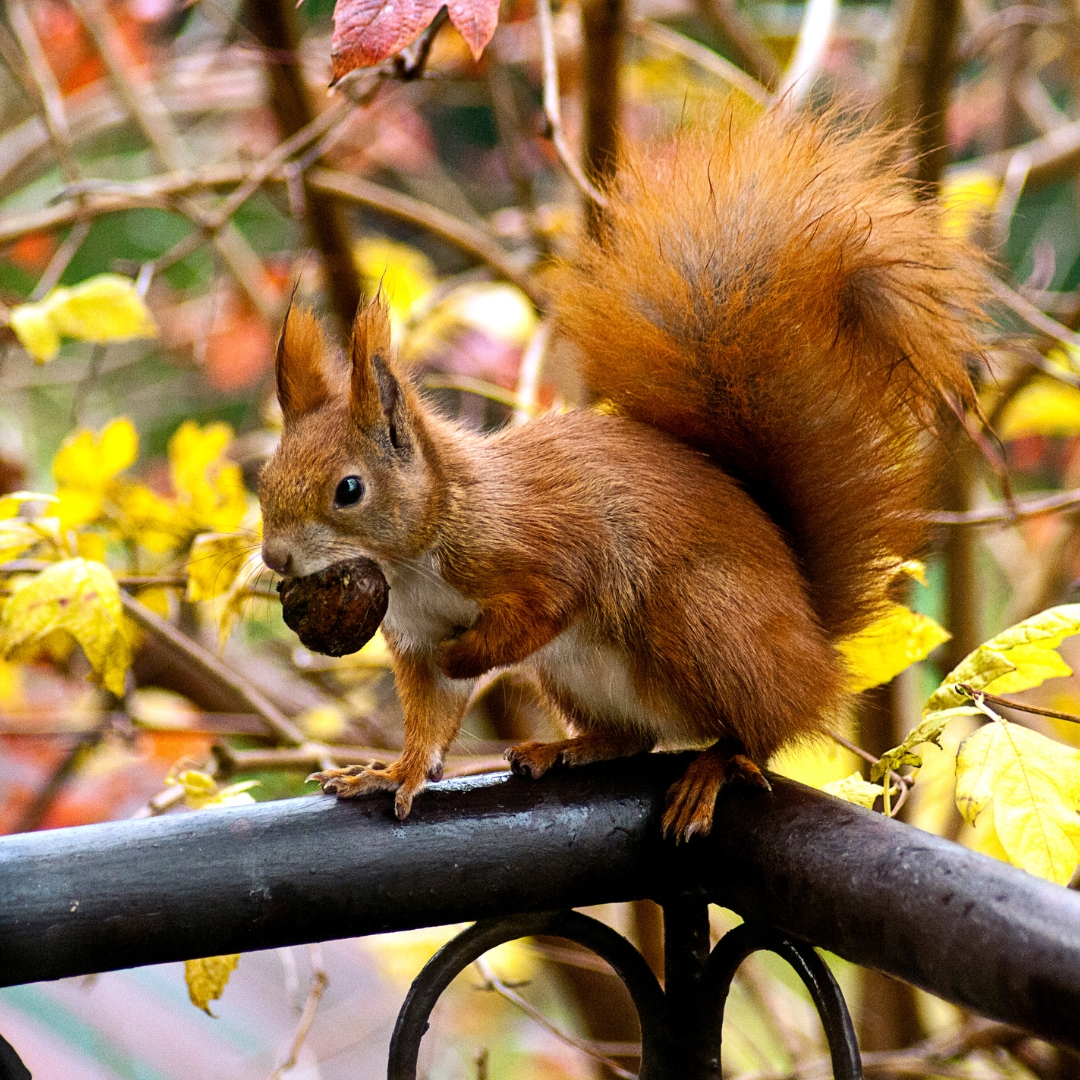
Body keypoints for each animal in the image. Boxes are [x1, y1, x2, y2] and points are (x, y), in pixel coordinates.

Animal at [258, 107, 988, 840]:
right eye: (264, 482)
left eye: (349, 490)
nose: (275, 558)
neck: (421, 548)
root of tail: (812, 646)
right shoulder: (414, 632)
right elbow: (430, 717)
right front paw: (392, 773)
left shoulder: (538, 545)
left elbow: (545, 605)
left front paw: (467, 656)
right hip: (582, 675)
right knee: (638, 738)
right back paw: (568, 748)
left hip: (703, 622)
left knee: (758, 734)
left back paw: (713, 768)